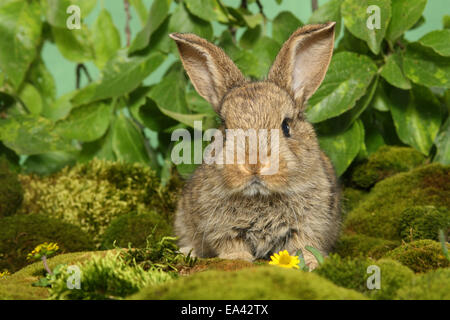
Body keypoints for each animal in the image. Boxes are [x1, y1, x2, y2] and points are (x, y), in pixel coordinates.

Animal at [171, 21, 340, 268]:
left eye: (286, 126)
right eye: (225, 128)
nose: (254, 164)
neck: (260, 197)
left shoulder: (311, 224)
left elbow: (304, 245)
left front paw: (310, 263)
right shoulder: (221, 229)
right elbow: (231, 245)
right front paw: (237, 260)